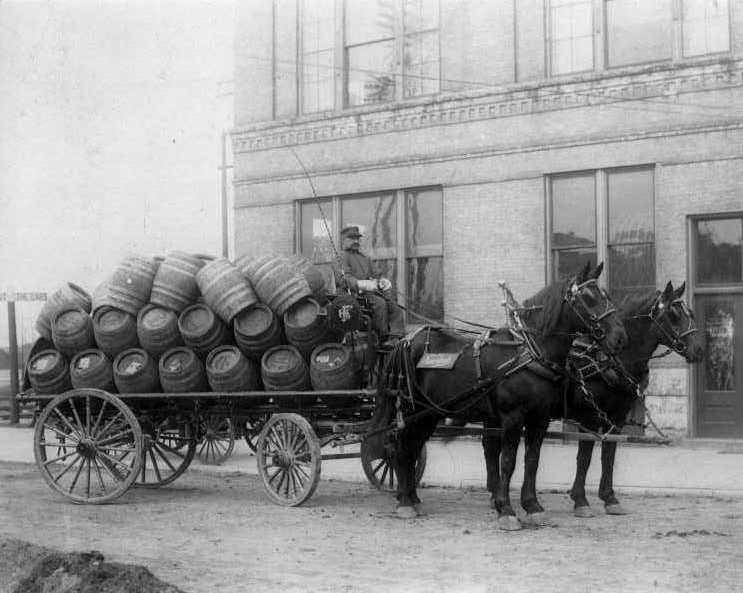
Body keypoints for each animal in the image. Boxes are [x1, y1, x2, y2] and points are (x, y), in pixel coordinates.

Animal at [372, 262, 628, 528]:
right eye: (588, 298)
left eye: (606, 296)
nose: (620, 338)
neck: (530, 353)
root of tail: (406, 341)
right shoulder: (512, 418)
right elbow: (508, 461)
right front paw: (506, 509)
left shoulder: (540, 419)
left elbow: (532, 460)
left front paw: (532, 506)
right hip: (411, 410)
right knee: (401, 449)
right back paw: (404, 503)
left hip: (429, 414)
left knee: (413, 448)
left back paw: (413, 498)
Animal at [564, 280, 704, 516]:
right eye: (674, 314)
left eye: (691, 313)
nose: (699, 350)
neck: (609, 360)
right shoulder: (589, 418)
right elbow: (584, 457)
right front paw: (580, 500)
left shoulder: (617, 418)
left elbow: (608, 456)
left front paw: (610, 499)